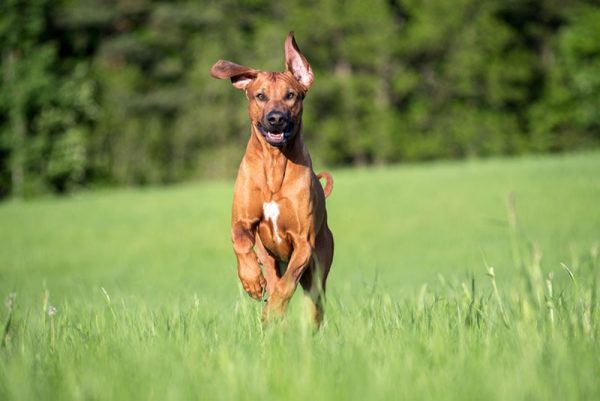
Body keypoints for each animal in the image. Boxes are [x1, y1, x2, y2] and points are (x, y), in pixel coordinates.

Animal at [210, 31, 332, 324]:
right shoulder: (242, 221)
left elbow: (286, 285)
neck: (275, 164)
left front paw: (273, 309)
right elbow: (241, 242)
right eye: (260, 96)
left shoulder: (303, 242)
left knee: (310, 302)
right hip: (271, 257)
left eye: (291, 95)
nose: (276, 118)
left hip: (318, 273)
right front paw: (252, 282)